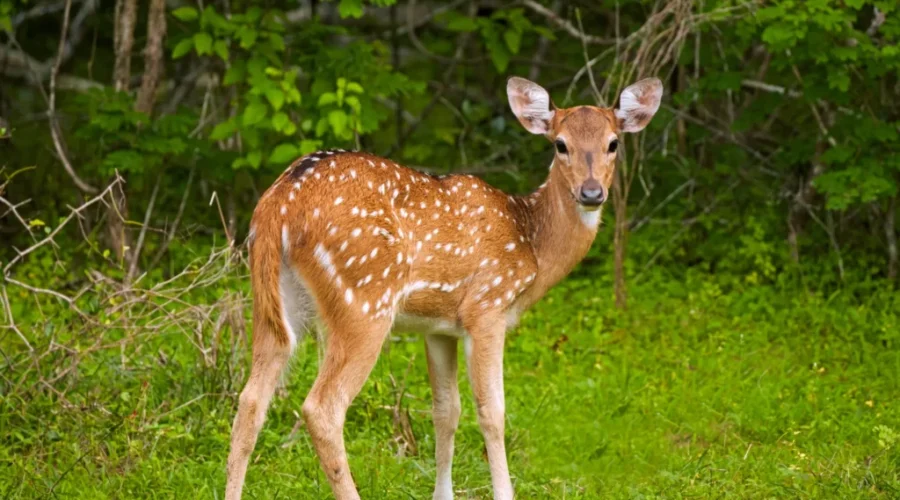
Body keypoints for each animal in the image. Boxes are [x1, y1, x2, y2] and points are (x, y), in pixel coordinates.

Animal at [225, 75, 662, 500]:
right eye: (560, 144)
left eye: (613, 143)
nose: (591, 193)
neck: (531, 244)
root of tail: (277, 205)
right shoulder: (486, 308)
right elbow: (492, 411)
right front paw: (504, 492)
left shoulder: (438, 326)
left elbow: (446, 411)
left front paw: (443, 494)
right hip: (364, 299)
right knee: (322, 408)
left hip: (275, 301)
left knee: (250, 399)